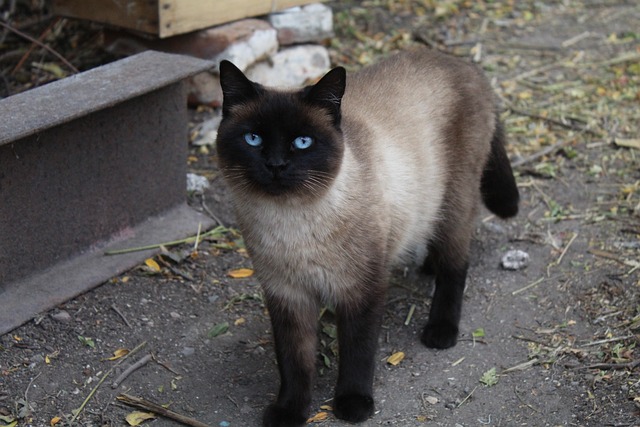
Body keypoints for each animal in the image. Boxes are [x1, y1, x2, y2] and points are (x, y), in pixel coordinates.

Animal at [216, 48, 520, 426]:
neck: (290, 223)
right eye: (253, 139)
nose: (275, 165)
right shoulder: (288, 296)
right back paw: (428, 268)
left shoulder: (361, 291)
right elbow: (294, 363)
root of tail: (464, 63)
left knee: (456, 265)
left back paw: (441, 331)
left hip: (454, 202)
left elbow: (357, 353)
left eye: (302, 142)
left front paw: (352, 405)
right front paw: (288, 413)